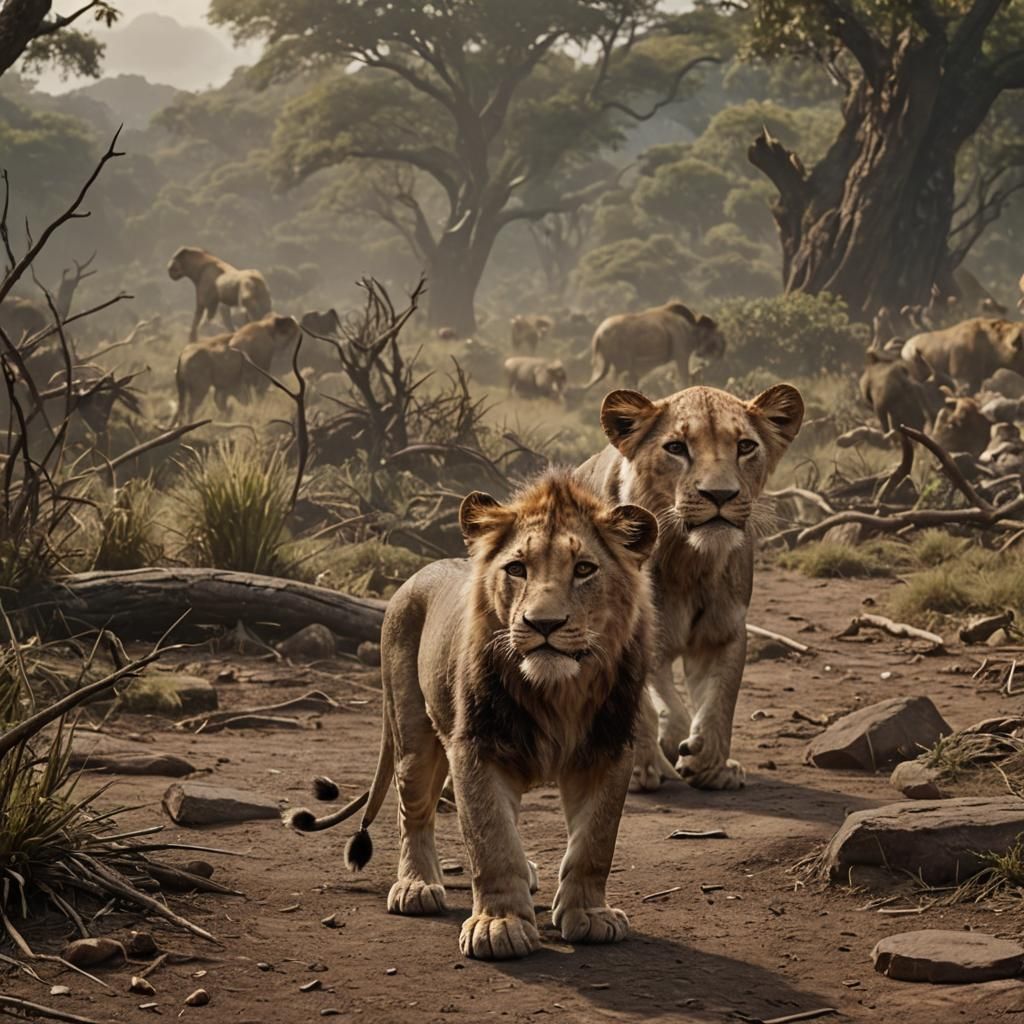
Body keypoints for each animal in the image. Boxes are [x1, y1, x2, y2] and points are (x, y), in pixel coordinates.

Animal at [284, 470, 658, 961]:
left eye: (584, 569)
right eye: (517, 568)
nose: (543, 624)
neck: (557, 691)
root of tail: (415, 575)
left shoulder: (609, 748)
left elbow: (595, 840)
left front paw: (590, 915)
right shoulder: (477, 747)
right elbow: (490, 839)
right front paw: (498, 925)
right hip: (411, 731)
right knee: (413, 811)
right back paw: (416, 886)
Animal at [577, 383, 804, 791]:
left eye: (745, 446)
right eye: (676, 448)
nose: (721, 495)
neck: (689, 560)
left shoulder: (724, 631)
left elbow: (721, 697)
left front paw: (709, 762)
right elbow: (656, 705)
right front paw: (657, 756)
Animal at [584, 302, 725, 391]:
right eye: (715, 334)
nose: (721, 352)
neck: (689, 328)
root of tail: (599, 335)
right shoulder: (681, 356)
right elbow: (685, 380)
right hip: (620, 366)